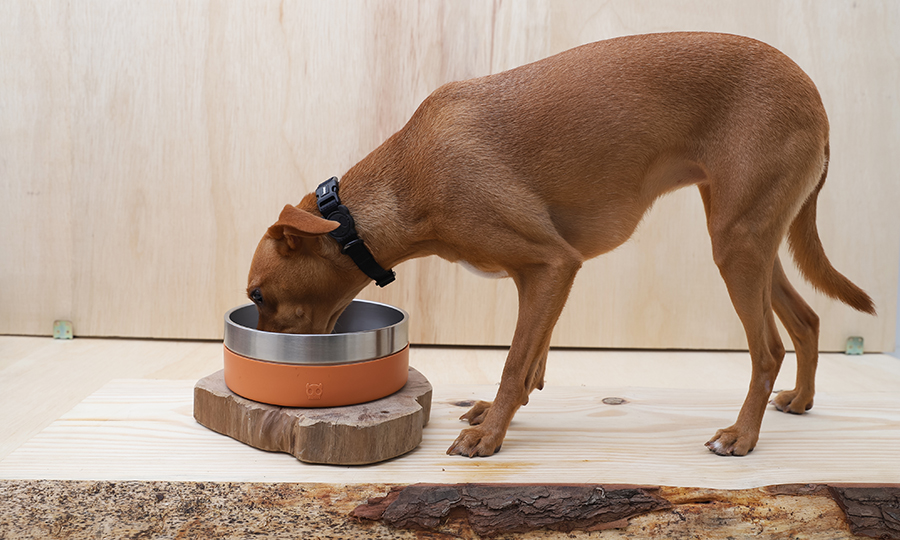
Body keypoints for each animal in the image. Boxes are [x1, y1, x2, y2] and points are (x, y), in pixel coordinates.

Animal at [246, 32, 872, 456]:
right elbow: (532, 363)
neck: (411, 175)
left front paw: (490, 436)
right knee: (808, 320)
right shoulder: (551, 275)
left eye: (256, 296)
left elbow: (515, 362)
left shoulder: (551, 263)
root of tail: (813, 95)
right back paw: (799, 400)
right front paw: (499, 417)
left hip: (736, 244)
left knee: (768, 349)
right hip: (750, 238)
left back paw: (741, 434)